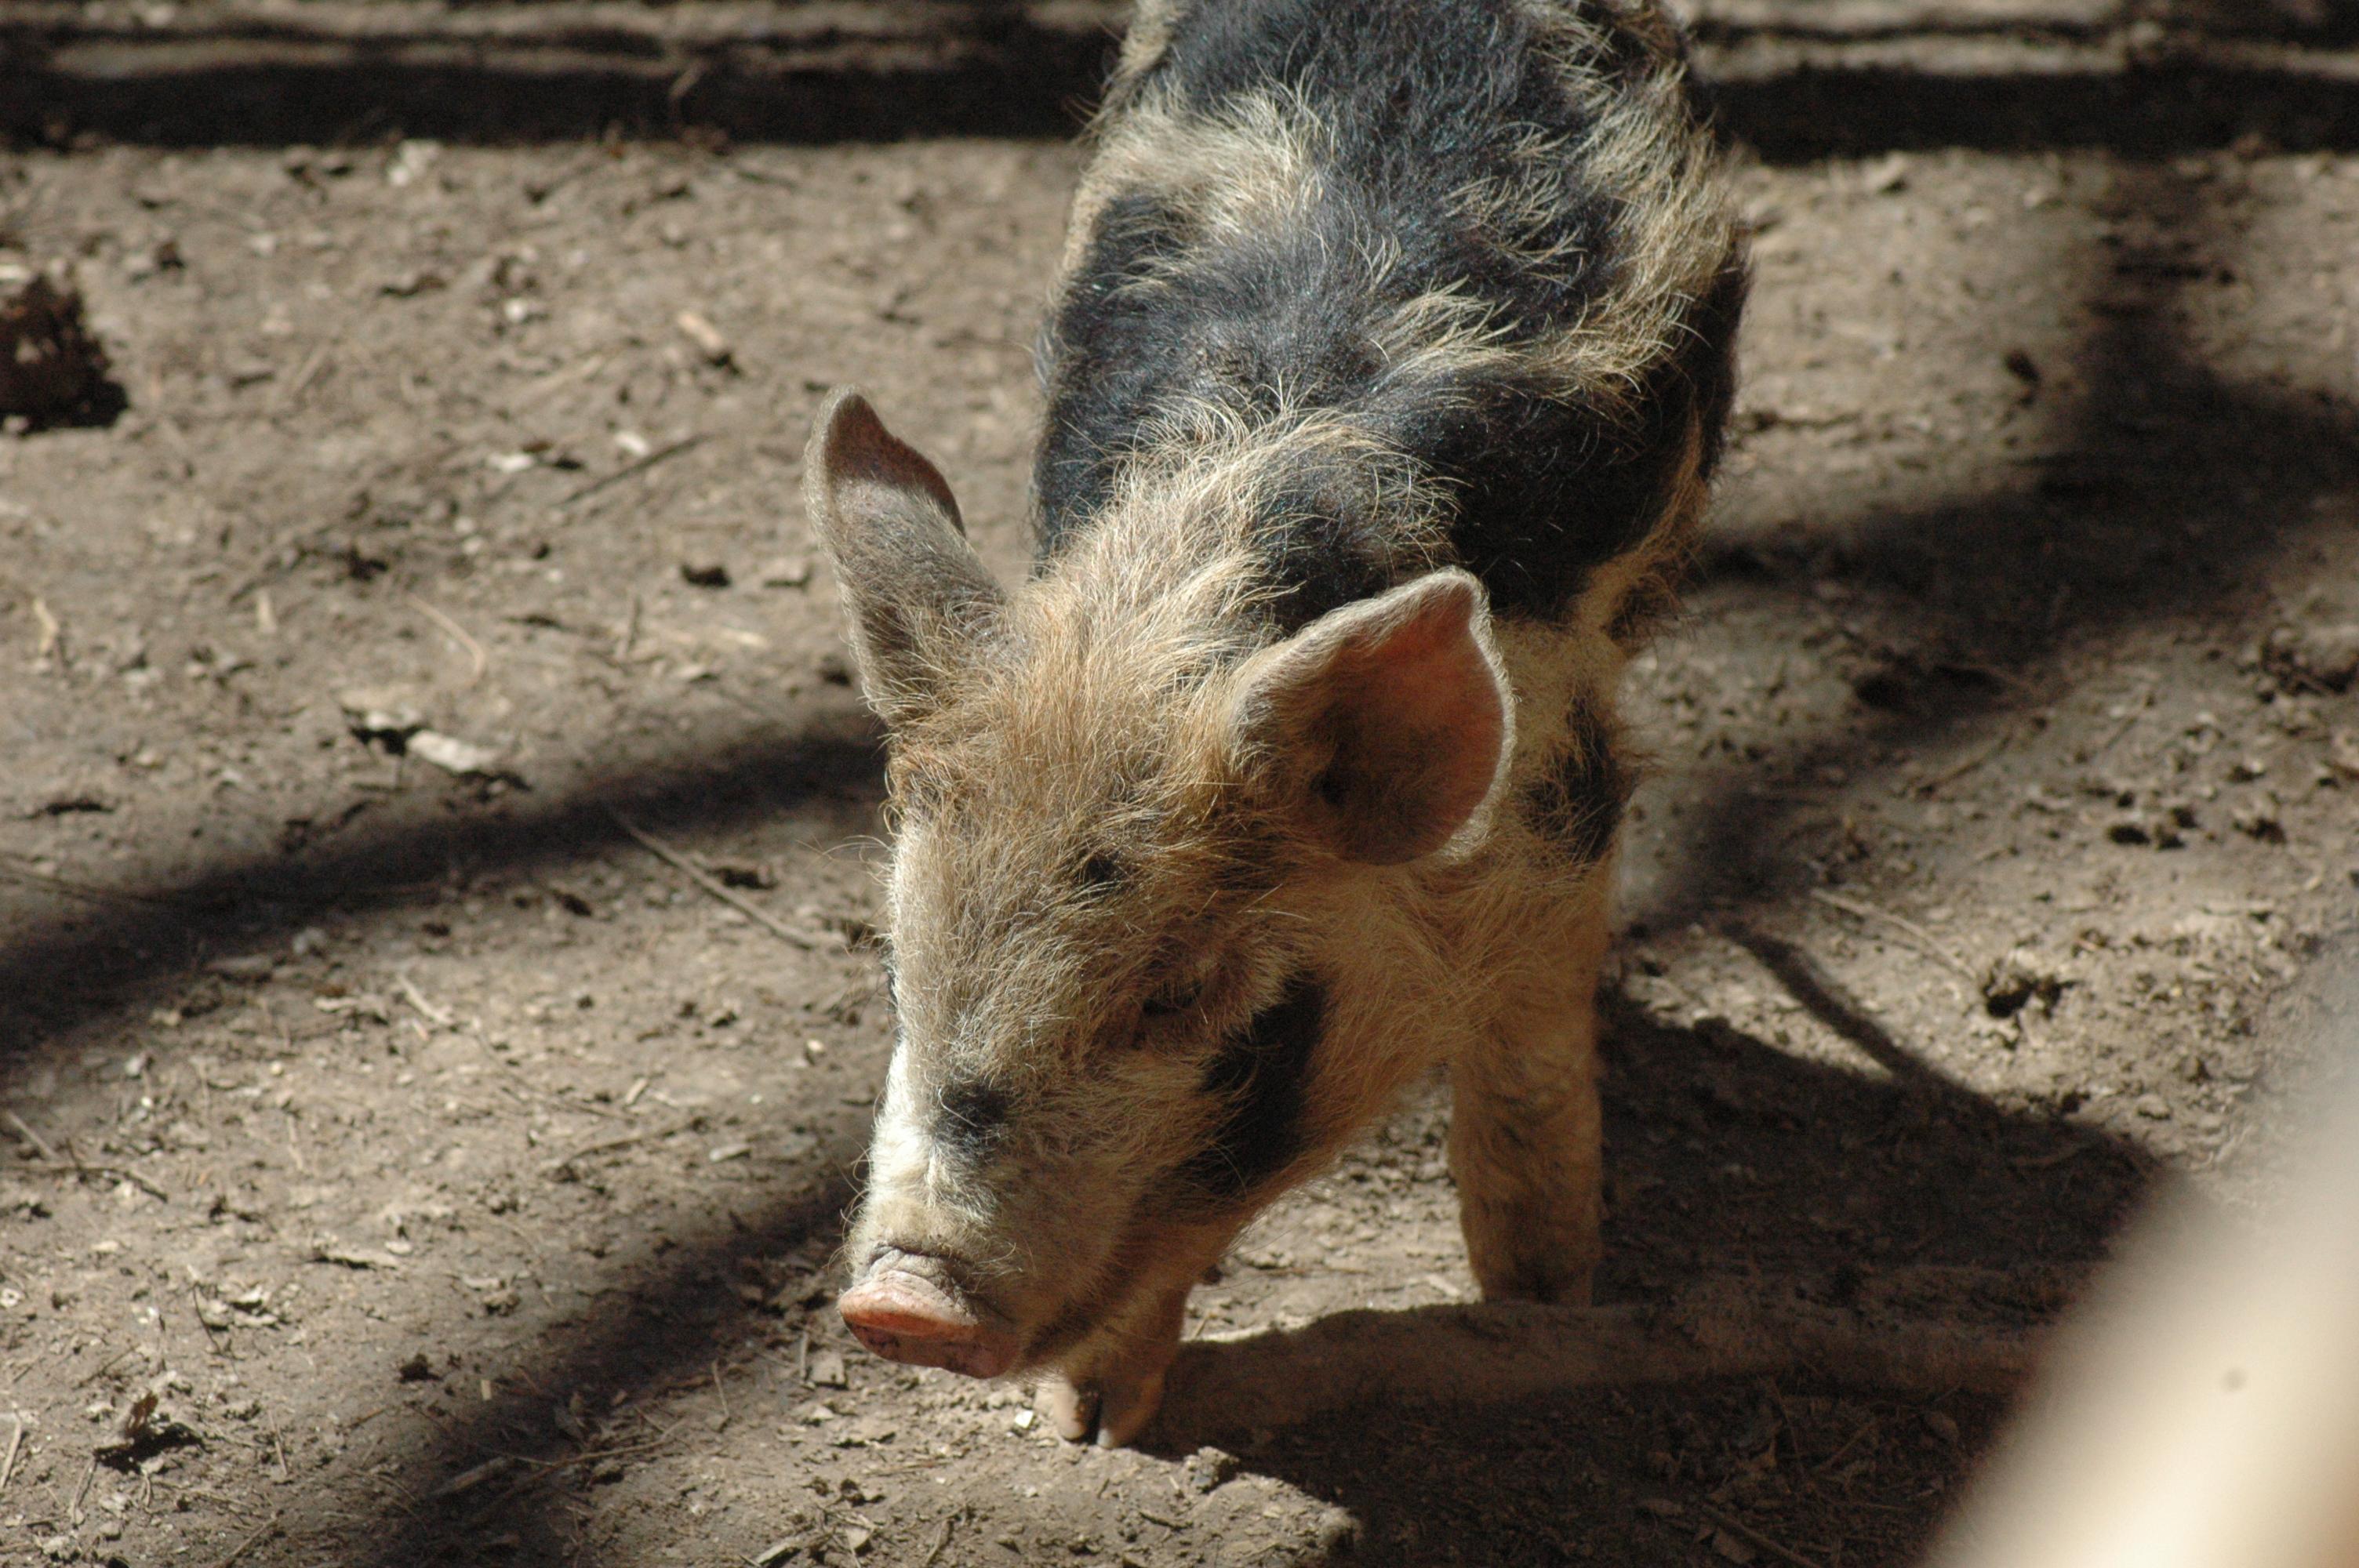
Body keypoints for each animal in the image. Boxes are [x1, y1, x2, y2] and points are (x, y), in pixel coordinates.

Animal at [813, 0, 1747, 1447]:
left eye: (1180, 993)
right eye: (904, 957)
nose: (903, 1303)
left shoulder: (1571, 805)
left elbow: (1529, 1085)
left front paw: (1544, 1316)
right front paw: (1097, 1431)